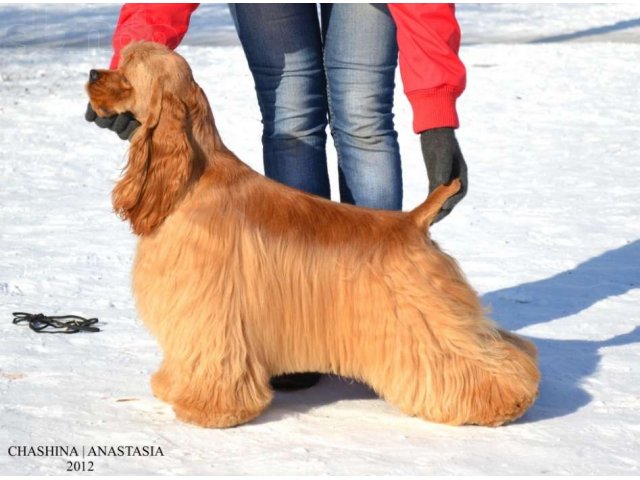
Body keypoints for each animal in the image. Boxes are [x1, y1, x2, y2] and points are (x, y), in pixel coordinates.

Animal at [86, 42, 540, 428]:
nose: (91, 73)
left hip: (428, 321)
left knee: (483, 361)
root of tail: (413, 222)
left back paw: (504, 403)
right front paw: (172, 386)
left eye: (127, 72)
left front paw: (209, 410)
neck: (192, 177)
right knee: (508, 345)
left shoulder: (209, 305)